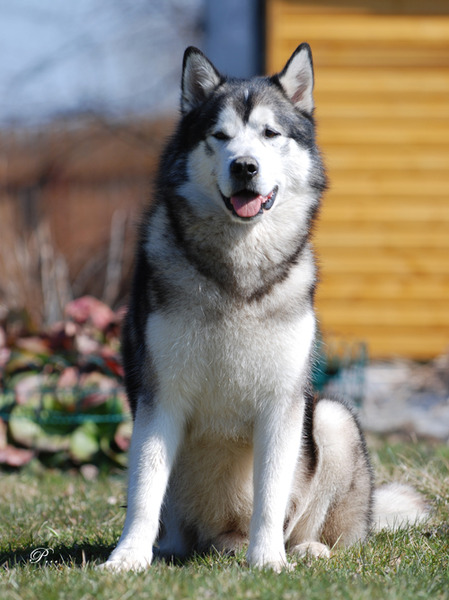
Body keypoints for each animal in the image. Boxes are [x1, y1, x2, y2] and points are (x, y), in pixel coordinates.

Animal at [102, 44, 428, 568]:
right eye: (220, 136)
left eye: (270, 134)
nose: (244, 167)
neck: (239, 271)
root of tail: (219, 540)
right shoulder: (160, 395)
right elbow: (145, 488)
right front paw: (128, 558)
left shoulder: (282, 401)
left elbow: (271, 494)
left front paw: (269, 561)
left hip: (332, 419)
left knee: (320, 524)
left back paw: (305, 549)